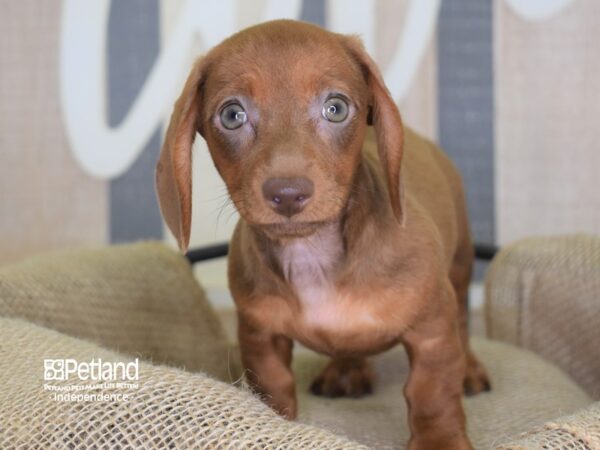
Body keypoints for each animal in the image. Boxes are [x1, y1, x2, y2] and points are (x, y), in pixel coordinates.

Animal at [157, 19, 490, 448]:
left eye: (336, 108)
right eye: (232, 114)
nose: (287, 194)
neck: (311, 254)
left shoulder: (432, 329)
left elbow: (431, 393)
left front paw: (440, 440)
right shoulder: (260, 334)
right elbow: (273, 386)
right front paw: (272, 428)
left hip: (461, 266)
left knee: (463, 321)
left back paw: (470, 368)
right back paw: (346, 369)